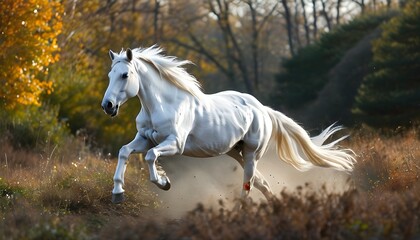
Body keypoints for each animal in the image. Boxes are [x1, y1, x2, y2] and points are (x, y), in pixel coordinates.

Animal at [101, 45, 354, 202]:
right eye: (110, 75)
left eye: (124, 75)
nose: (108, 105)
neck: (164, 104)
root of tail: (263, 110)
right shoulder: (145, 139)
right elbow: (124, 152)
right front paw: (117, 193)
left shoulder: (175, 144)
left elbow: (151, 157)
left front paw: (164, 182)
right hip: (235, 152)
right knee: (261, 182)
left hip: (251, 153)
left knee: (248, 185)